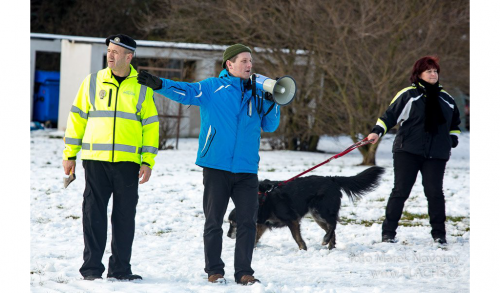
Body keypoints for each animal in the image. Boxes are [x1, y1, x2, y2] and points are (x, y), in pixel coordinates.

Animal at [229, 165, 384, 250]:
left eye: (233, 223)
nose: (228, 235)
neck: (262, 200)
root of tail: (331, 179)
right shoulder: (262, 224)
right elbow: (255, 237)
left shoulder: (292, 220)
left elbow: (297, 237)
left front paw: (303, 249)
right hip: (317, 216)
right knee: (331, 228)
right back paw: (330, 246)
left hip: (322, 210)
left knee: (333, 224)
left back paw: (326, 240)